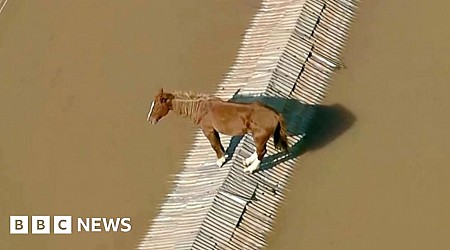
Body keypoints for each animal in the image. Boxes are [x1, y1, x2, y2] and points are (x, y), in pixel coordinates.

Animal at [146, 88, 290, 174]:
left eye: (157, 106)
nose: (150, 120)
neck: (201, 108)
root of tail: (276, 115)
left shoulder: (208, 130)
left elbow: (214, 144)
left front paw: (220, 161)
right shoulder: (214, 130)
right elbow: (218, 142)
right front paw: (225, 155)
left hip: (259, 136)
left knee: (262, 151)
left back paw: (250, 168)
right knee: (260, 150)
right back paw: (248, 161)